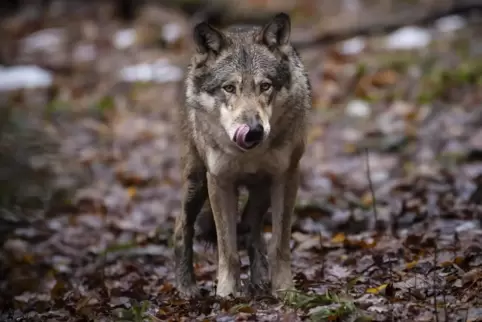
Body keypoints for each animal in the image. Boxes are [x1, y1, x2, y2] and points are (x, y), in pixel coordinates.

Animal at [173, 12, 312, 300]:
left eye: (265, 86)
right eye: (229, 88)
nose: (254, 131)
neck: (250, 154)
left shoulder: (286, 177)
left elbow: (279, 244)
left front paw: (284, 289)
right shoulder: (219, 181)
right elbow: (227, 249)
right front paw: (226, 293)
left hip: (261, 189)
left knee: (250, 226)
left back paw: (259, 279)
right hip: (197, 182)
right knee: (182, 226)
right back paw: (186, 286)